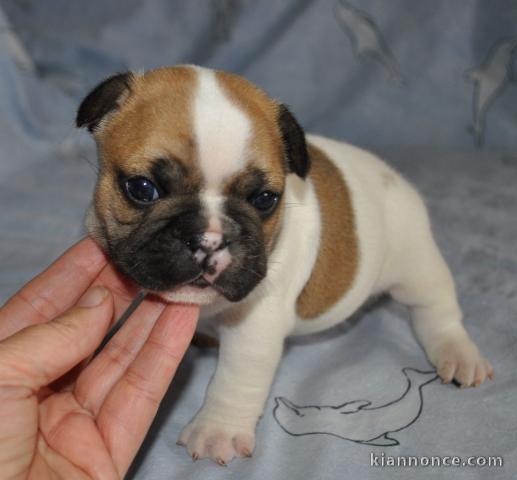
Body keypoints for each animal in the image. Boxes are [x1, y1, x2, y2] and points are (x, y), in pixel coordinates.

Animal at [76, 64, 492, 464]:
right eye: (142, 188)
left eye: (264, 199)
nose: (210, 239)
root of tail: (393, 177)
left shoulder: (256, 325)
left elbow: (236, 378)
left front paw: (217, 431)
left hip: (416, 263)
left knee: (436, 310)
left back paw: (458, 355)